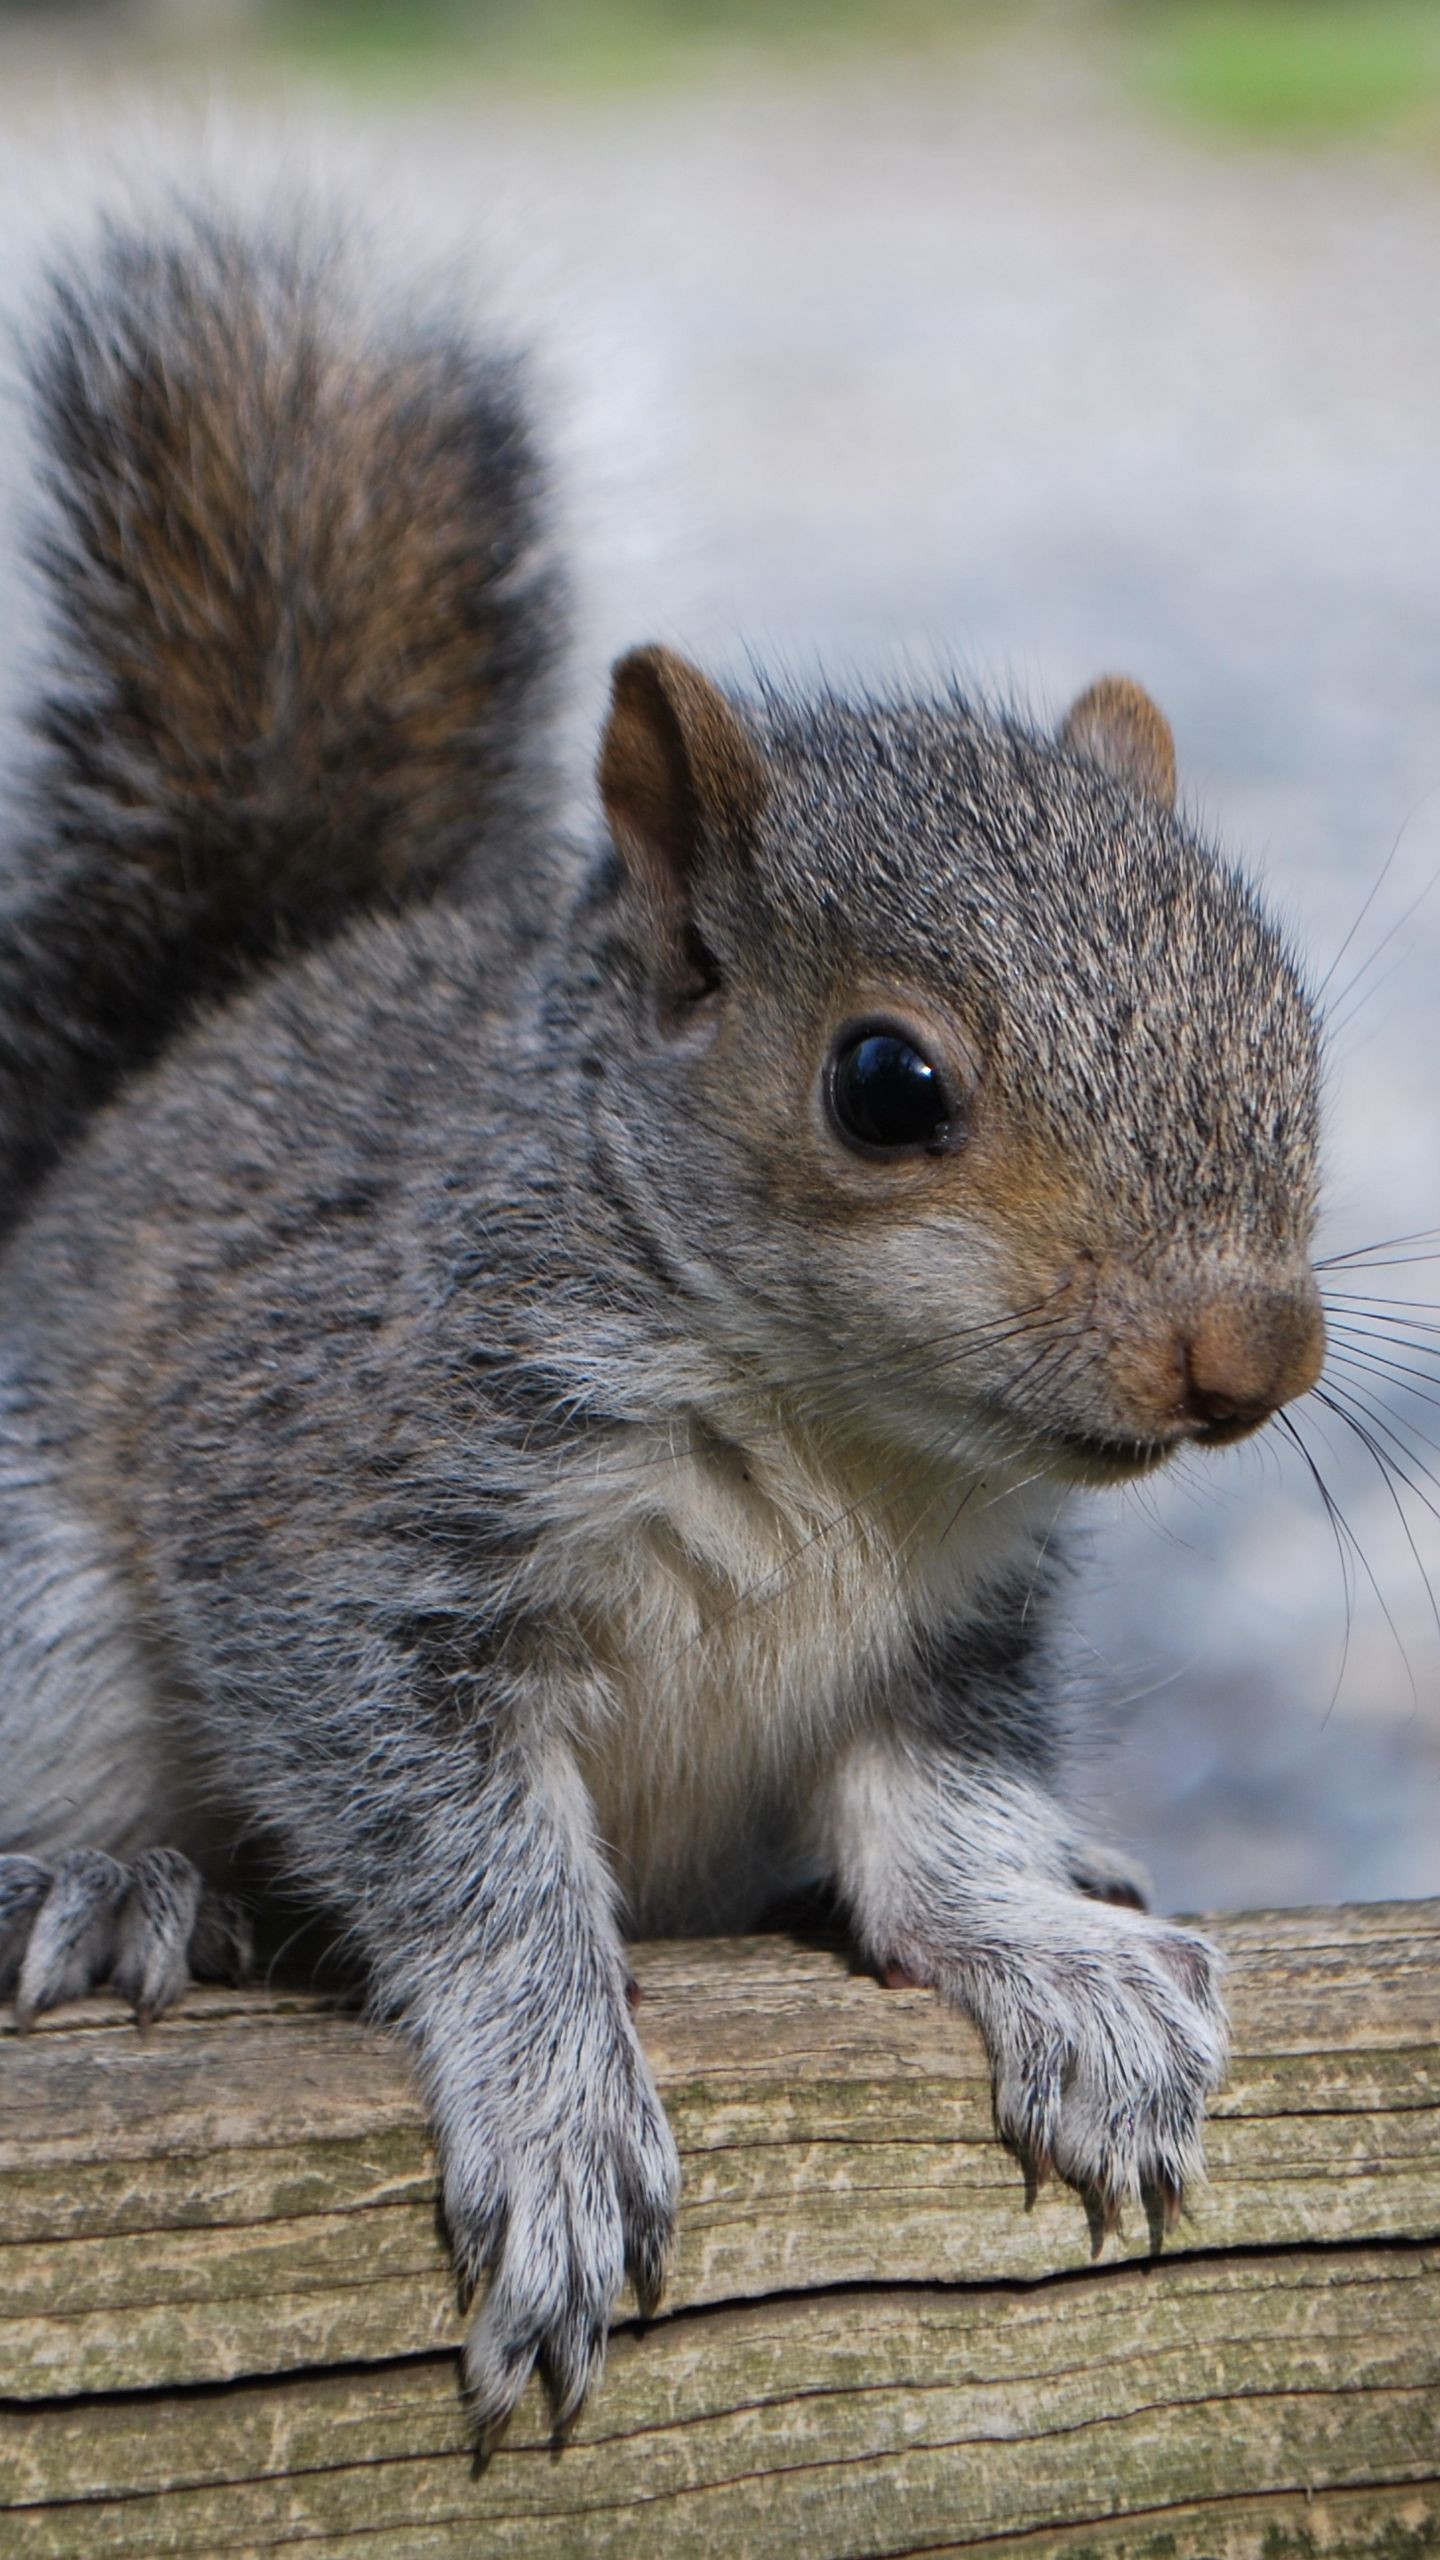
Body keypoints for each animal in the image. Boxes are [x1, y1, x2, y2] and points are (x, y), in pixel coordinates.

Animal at [0, 194, 1322, 2437]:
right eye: (887, 1083)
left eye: (1291, 1018)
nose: (1255, 1356)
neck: (851, 1436)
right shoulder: (342, 1503)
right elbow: (457, 1840)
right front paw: (551, 2103)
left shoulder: (956, 1630)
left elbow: (943, 1810)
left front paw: (1056, 1958)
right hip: (40, 1610)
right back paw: (110, 1882)